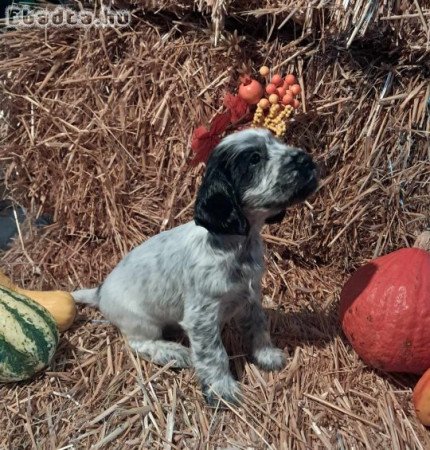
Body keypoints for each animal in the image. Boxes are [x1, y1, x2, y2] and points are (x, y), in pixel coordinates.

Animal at [73, 128, 316, 406]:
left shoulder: (251, 295)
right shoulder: (202, 316)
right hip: (140, 321)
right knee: (138, 343)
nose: (306, 159)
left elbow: (258, 326)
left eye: (279, 142)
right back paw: (174, 352)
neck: (234, 246)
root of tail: (100, 291)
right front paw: (222, 390)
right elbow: (215, 354)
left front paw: (267, 355)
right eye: (254, 159)